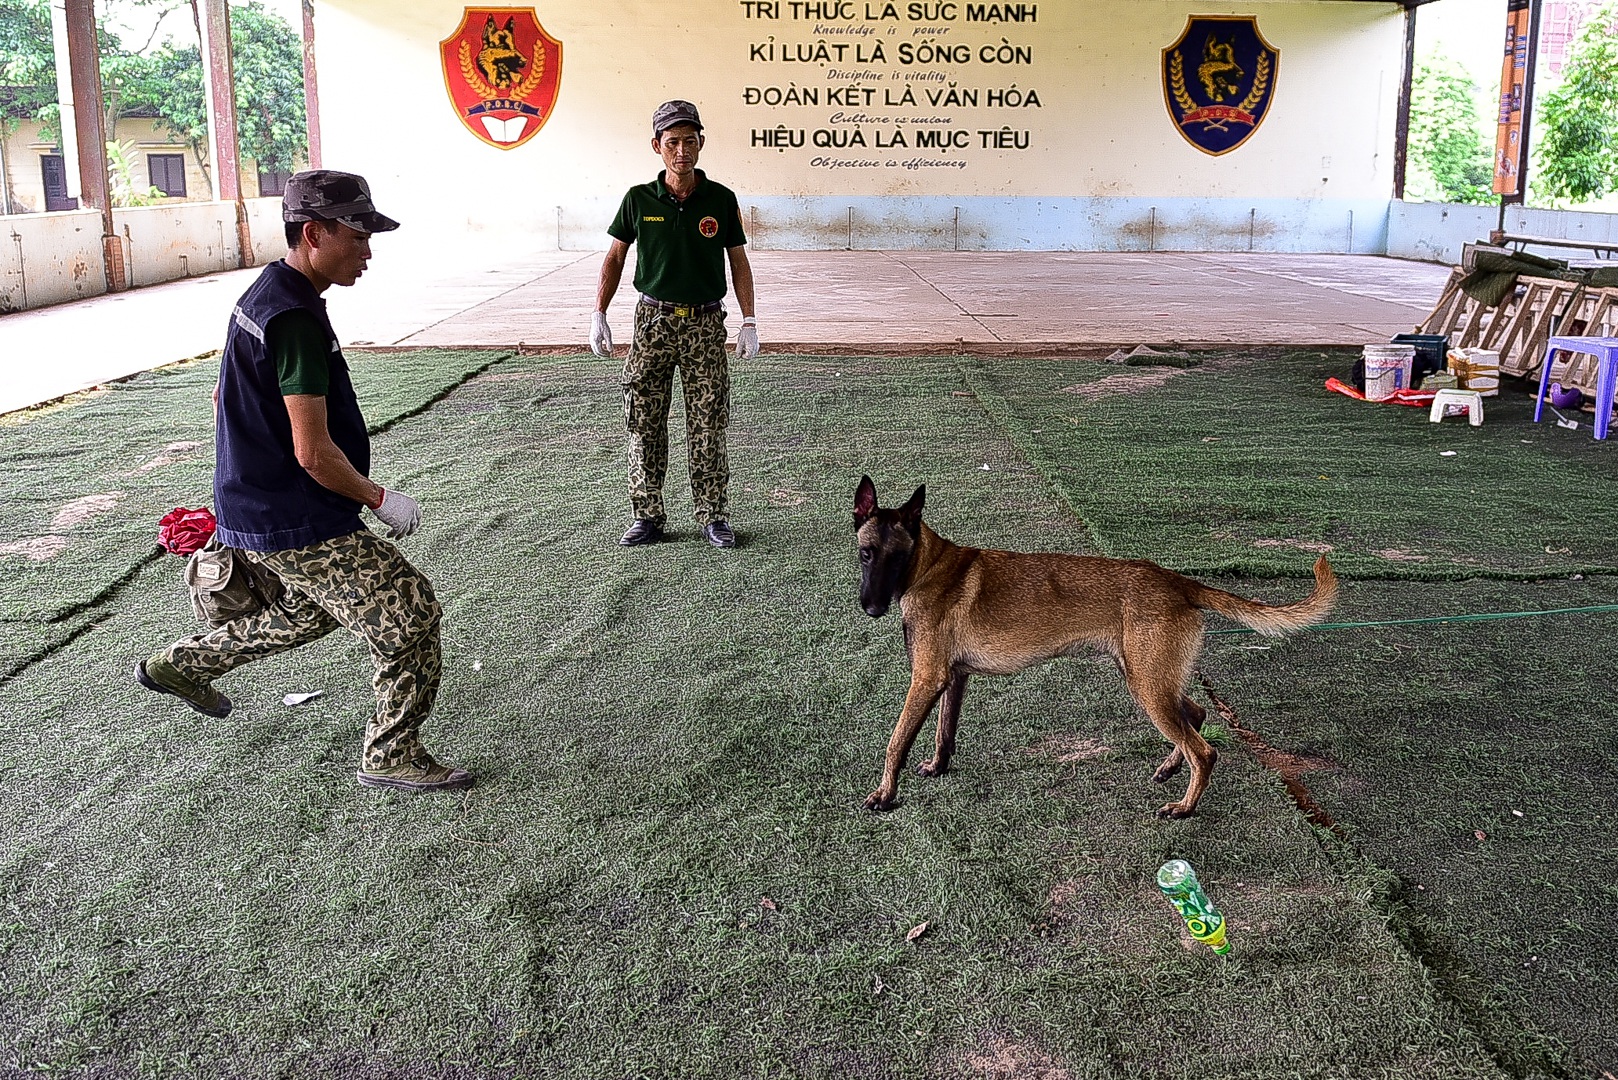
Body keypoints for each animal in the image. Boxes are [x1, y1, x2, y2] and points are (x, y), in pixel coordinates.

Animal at [854, 476, 1333, 816]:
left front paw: (884, 794)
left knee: (1205, 749)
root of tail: (1176, 581)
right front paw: (938, 768)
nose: (872, 608)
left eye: (897, 557)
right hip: (1149, 677)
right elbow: (943, 733)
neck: (927, 565)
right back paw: (1171, 766)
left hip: (1148, 687)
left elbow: (896, 742)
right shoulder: (953, 679)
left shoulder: (926, 679)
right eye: (866, 554)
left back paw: (1185, 806)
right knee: (1196, 715)